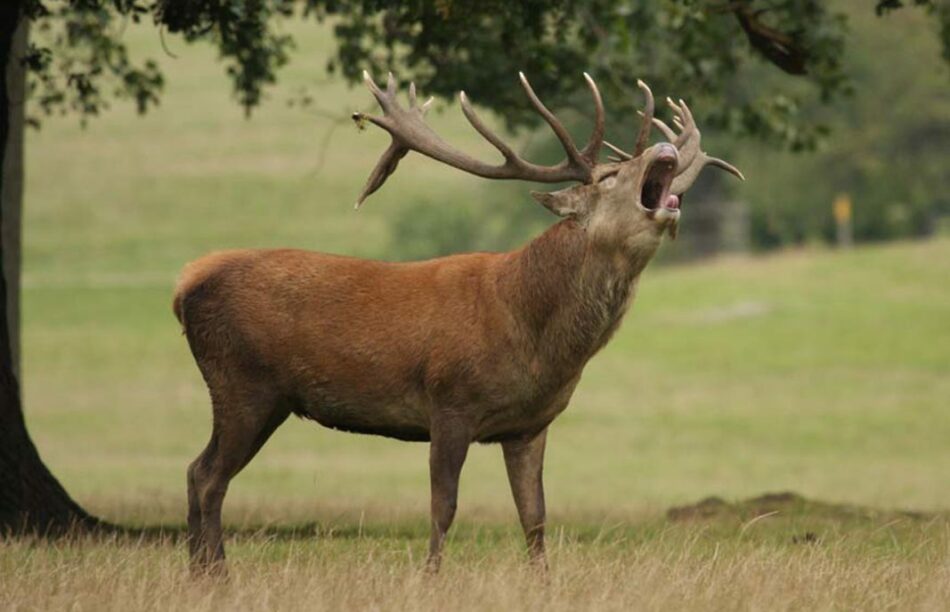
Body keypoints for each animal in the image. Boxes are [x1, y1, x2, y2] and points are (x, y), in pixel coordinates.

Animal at [175, 71, 748, 572]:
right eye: (609, 178)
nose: (664, 150)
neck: (530, 331)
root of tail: (183, 287)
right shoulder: (449, 402)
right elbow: (443, 506)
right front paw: (430, 578)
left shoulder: (530, 423)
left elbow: (534, 516)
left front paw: (542, 582)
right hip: (241, 381)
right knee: (208, 476)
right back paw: (217, 575)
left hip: (264, 396)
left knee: (195, 469)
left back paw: (201, 574)